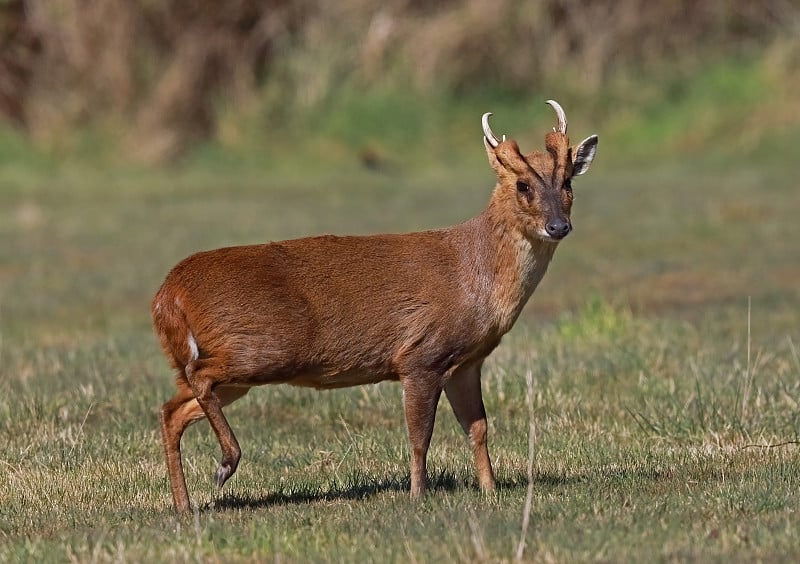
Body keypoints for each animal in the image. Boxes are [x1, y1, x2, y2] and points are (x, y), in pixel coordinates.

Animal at [153, 100, 596, 512]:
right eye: (522, 185)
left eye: (568, 181)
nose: (558, 226)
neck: (476, 275)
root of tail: (167, 295)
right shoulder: (421, 355)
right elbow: (420, 436)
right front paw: (418, 495)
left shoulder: (466, 363)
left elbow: (478, 428)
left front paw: (489, 491)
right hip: (258, 347)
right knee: (197, 377)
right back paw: (225, 464)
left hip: (237, 369)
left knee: (171, 409)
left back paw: (184, 504)